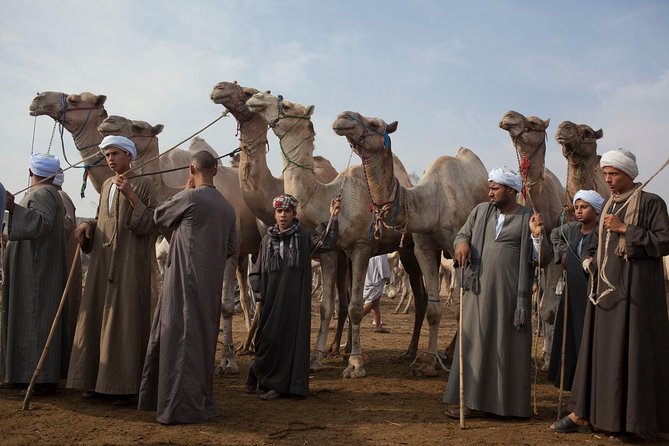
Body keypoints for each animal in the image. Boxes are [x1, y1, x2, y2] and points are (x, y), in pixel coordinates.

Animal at [210, 81, 351, 371]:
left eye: (247, 91)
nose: (219, 87)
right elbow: (261, 295)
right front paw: (249, 347)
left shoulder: (325, 251)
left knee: (346, 298)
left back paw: (340, 349)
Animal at [246, 92, 429, 378]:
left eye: (285, 105)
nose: (256, 97)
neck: (327, 197)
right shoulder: (331, 251)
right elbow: (326, 307)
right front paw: (317, 358)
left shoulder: (361, 248)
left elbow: (355, 306)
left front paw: (355, 364)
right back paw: (406, 353)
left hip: (410, 249)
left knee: (423, 297)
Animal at [332, 111, 489, 376]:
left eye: (375, 124)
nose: (342, 117)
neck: (433, 203)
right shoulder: (424, 247)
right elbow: (433, 309)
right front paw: (427, 363)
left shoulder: (458, 249)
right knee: (423, 300)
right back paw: (416, 353)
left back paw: (450, 353)